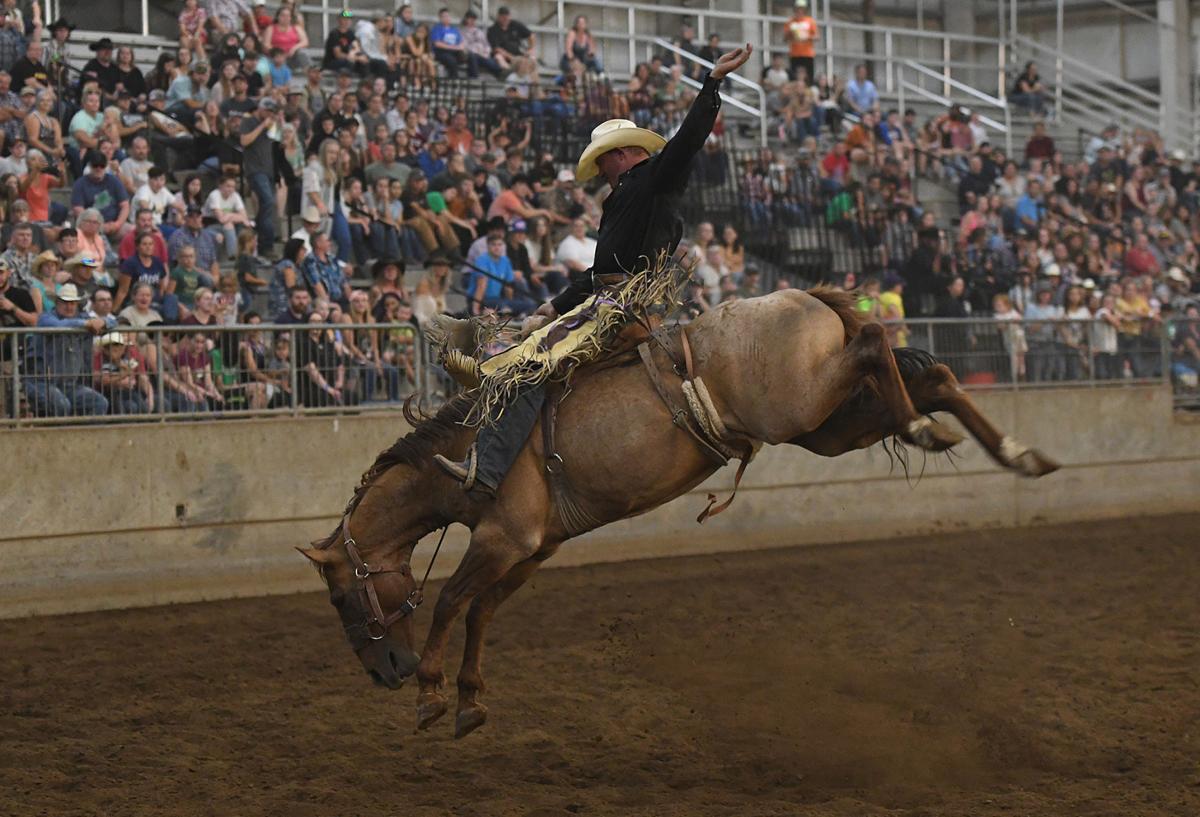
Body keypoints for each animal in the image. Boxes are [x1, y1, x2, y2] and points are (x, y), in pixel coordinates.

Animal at [300, 287, 1060, 739]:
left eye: (339, 597)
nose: (385, 671)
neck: (465, 450)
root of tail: (800, 294)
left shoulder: (503, 537)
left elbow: (453, 599)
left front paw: (430, 693)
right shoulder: (532, 549)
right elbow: (483, 610)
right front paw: (466, 700)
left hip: (806, 400)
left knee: (879, 343)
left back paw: (939, 433)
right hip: (828, 423)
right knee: (932, 377)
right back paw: (1017, 453)